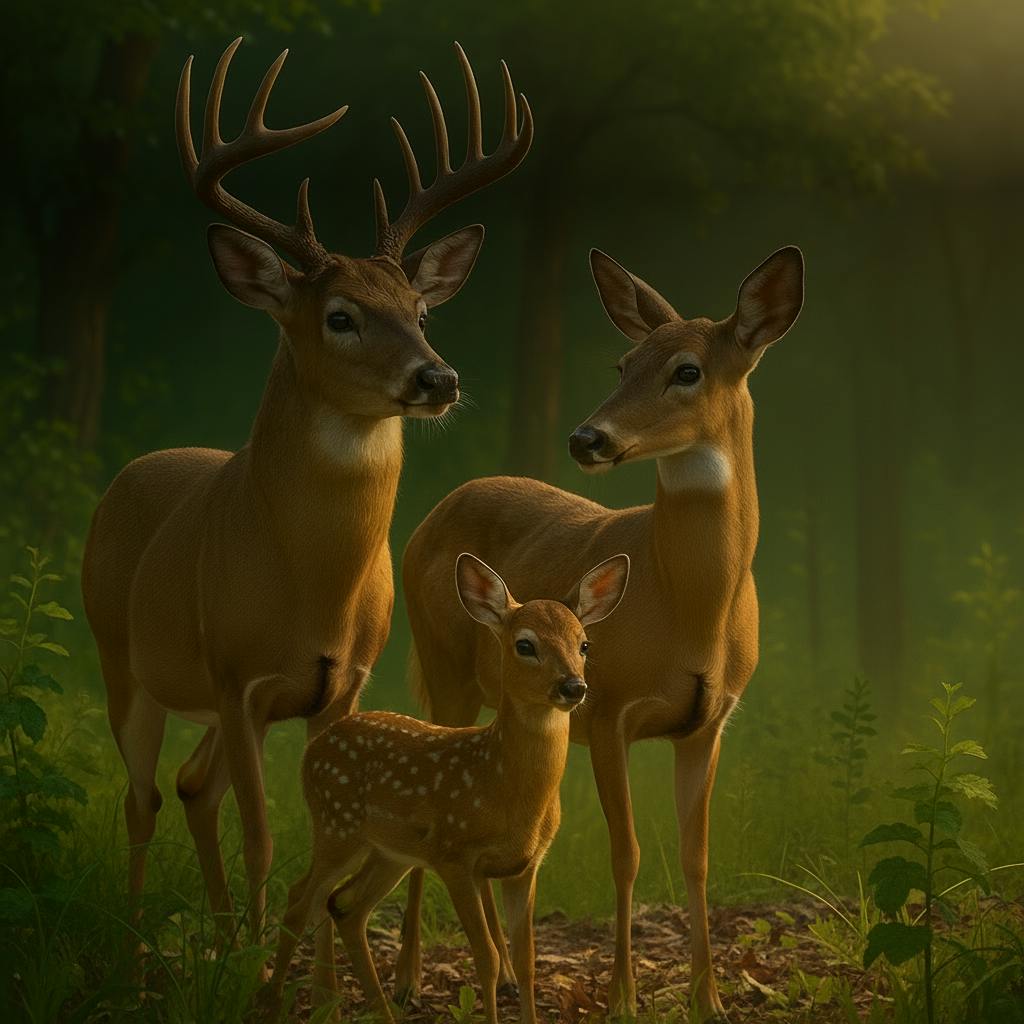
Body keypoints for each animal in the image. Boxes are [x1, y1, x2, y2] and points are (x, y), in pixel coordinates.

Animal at [80, 36, 532, 963]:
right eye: (340, 315)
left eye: (422, 307)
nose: (438, 378)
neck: (314, 584)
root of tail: (129, 474)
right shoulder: (234, 675)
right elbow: (262, 832)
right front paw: (255, 962)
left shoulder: (340, 684)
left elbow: (327, 832)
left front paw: (288, 960)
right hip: (119, 657)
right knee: (144, 796)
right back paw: (140, 947)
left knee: (192, 786)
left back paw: (219, 934)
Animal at [267, 552, 630, 1023]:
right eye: (525, 645)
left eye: (584, 644)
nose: (574, 686)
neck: (502, 783)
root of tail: (314, 747)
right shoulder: (455, 856)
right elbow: (488, 957)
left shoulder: (525, 866)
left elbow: (527, 961)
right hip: (336, 825)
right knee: (299, 900)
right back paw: (269, 1002)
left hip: (390, 851)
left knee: (345, 906)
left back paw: (381, 1012)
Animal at [393, 246, 804, 1022]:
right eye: (623, 363)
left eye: (687, 370)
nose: (587, 438)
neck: (688, 607)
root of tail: (435, 511)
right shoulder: (609, 707)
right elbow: (628, 852)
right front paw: (622, 997)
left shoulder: (710, 720)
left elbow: (698, 857)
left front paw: (709, 998)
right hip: (442, 666)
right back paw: (406, 979)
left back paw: (504, 974)